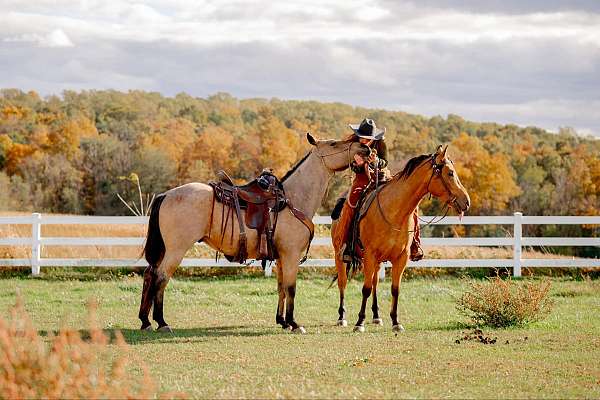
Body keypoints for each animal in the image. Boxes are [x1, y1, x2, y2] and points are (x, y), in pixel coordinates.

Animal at [139, 133, 370, 332]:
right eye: (334, 144)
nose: (365, 148)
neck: (292, 199)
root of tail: (166, 195)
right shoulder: (291, 255)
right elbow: (291, 287)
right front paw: (294, 323)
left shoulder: (280, 257)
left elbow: (281, 287)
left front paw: (282, 321)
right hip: (175, 250)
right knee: (161, 277)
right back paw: (161, 322)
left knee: (150, 274)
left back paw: (145, 321)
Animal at [332, 145, 468, 332]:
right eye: (450, 173)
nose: (466, 202)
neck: (394, 211)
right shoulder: (370, 255)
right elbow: (365, 289)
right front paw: (359, 323)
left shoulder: (401, 258)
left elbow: (394, 289)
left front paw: (396, 322)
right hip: (340, 256)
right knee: (343, 282)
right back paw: (341, 317)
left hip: (377, 262)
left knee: (375, 282)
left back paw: (376, 316)